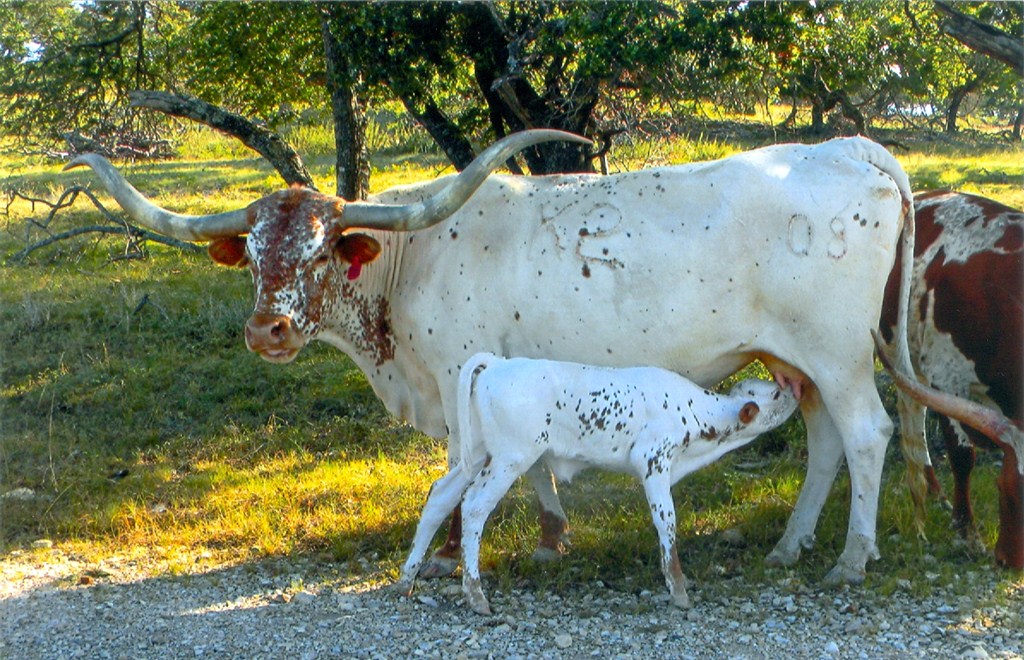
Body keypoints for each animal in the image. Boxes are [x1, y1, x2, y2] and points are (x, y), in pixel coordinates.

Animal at [65, 130, 917, 585]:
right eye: (251, 254)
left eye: (319, 252)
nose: (267, 331)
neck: (408, 261)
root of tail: (851, 148)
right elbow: (522, 464)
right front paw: (548, 536)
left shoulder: (455, 374)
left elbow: (459, 465)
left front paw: (449, 552)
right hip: (796, 361)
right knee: (825, 440)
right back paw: (789, 546)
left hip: (838, 354)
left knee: (866, 435)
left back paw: (851, 559)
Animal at [398, 353, 799, 615]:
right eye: (775, 395)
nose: (796, 389)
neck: (697, 415)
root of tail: (498, 363)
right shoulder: (653, 461)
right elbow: (666, 522)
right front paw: (679, 590)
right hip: (511, 456)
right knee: (474, 506)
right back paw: (475, 595)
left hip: (480, 452)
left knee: (440, 496)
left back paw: (406, 580)